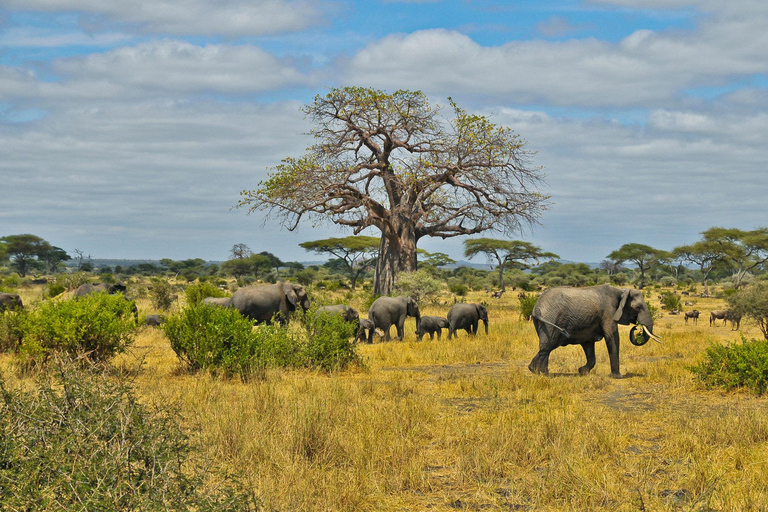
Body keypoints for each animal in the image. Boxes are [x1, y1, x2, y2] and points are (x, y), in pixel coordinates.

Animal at [528, 286, 660, 378]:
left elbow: (589, 345)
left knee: (546, 346)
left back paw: (541, 372)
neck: (621, 291)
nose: (637, 328)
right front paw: (618, 377)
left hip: (544, 322)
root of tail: (536, 308)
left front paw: (582, 371)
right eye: (638, 307)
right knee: (548, 346)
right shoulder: (608, 313)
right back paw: (536, 370)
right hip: (552, 319)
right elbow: (612, 337)